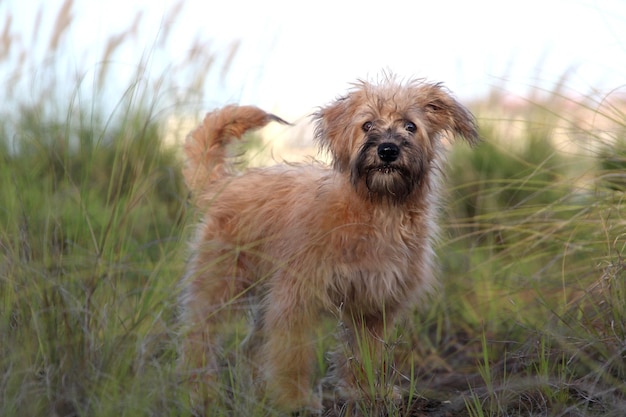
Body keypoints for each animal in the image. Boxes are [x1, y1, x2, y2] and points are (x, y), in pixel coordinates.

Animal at [178, 75, 476, 412]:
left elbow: (366, 353)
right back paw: (199, 392)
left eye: (410, 126)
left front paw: (367, 392)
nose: (387, 150)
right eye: (367, 125)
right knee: (200, 338)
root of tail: (227, 183)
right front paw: (294, 401)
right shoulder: (296, 299)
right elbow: (291, 355)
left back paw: (257, 394)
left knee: (251, 347)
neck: (379, 209)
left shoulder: (373, 303)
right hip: (219, 285)